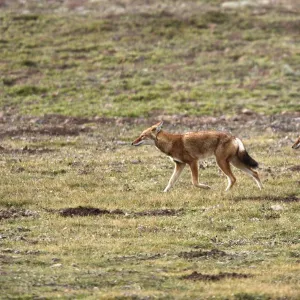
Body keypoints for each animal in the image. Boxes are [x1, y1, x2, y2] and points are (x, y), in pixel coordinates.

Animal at [132, 122, 262, 192]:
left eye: (142, 136)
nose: (132, 143)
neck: (171, 143)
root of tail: (233, 136)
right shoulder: (180, 165)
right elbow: (170, 182)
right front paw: (164, 193)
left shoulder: (193, 162)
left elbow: (194, 182)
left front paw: (207, 187)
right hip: (235, 163)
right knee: (255, 173)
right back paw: (262, 189)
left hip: (222, 162)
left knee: (233, 178)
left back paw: (225, 192)